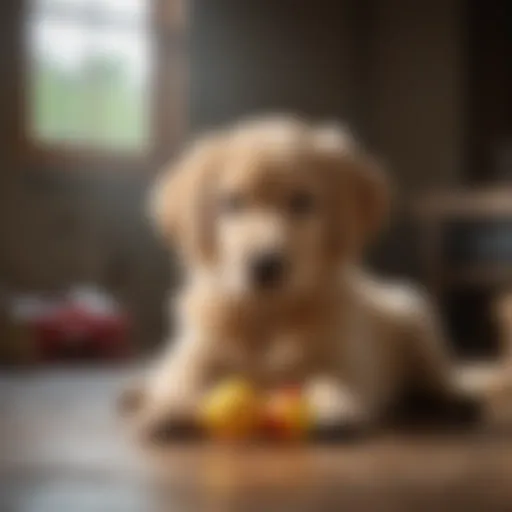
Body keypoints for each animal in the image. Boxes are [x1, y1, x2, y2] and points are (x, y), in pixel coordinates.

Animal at [130, 117, 474, 440]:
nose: (265, 265)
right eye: (232, 202)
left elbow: (333, 375)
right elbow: (183, 377)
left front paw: (333, 405)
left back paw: (453, 397)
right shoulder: (196, 350)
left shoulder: (345, 352)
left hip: (415, 318)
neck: (269, 315)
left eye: (302, 201)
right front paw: (169, 407)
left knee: (436, 372)